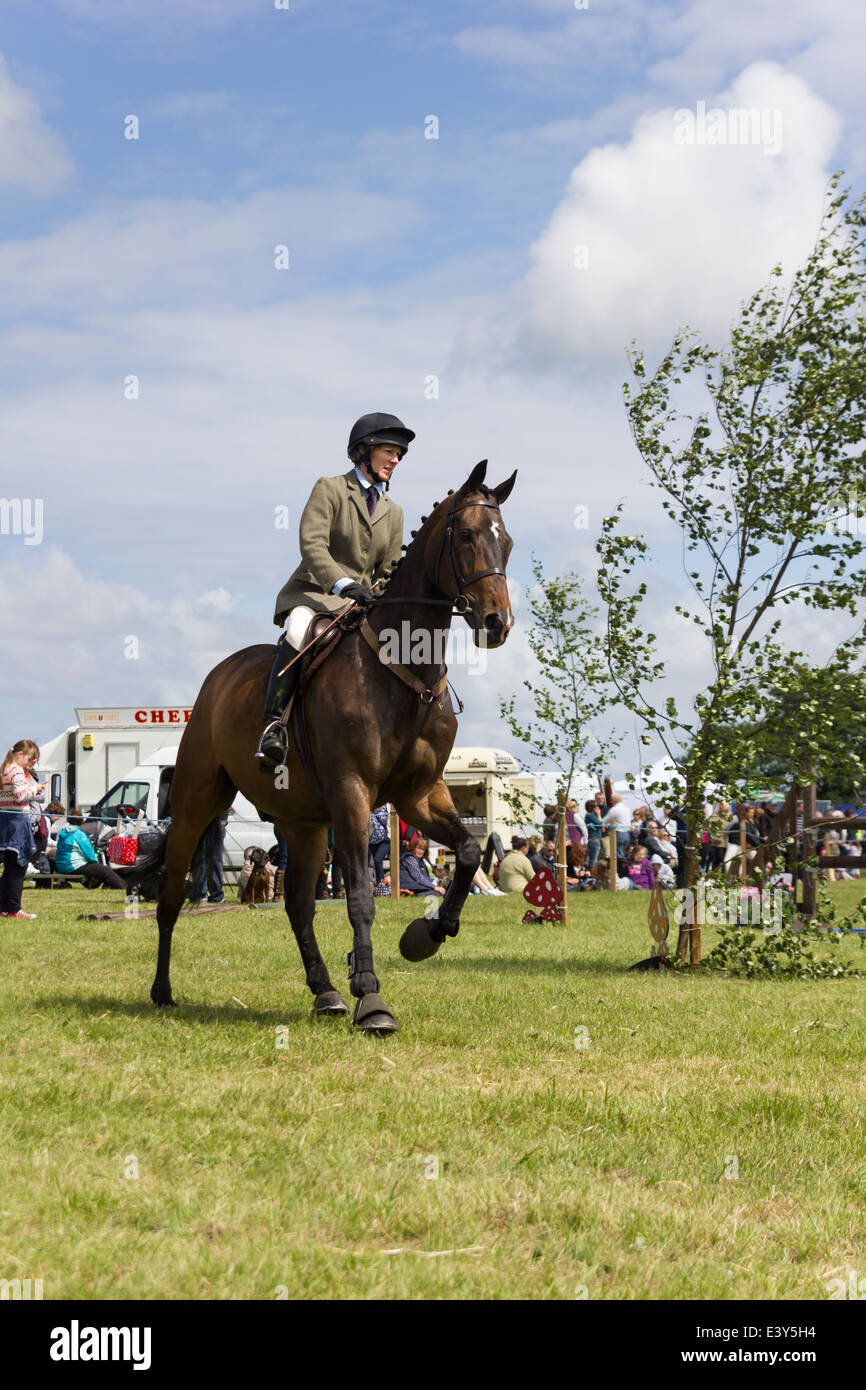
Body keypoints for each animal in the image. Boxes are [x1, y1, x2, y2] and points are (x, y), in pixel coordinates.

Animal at [148, 464, 514, 1034]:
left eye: (508, 542)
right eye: (469, 536)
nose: (498, 623)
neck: (404, 671)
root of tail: (221, 674)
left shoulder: (419, 796)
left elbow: (471, 852)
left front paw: (425, 937)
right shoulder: (353, 793)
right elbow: (360, 895)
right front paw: (372, 998)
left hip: (303, 824)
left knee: (299, 906)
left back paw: (325, 992)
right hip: (197, 801)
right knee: (170, 896)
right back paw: (162, 991)